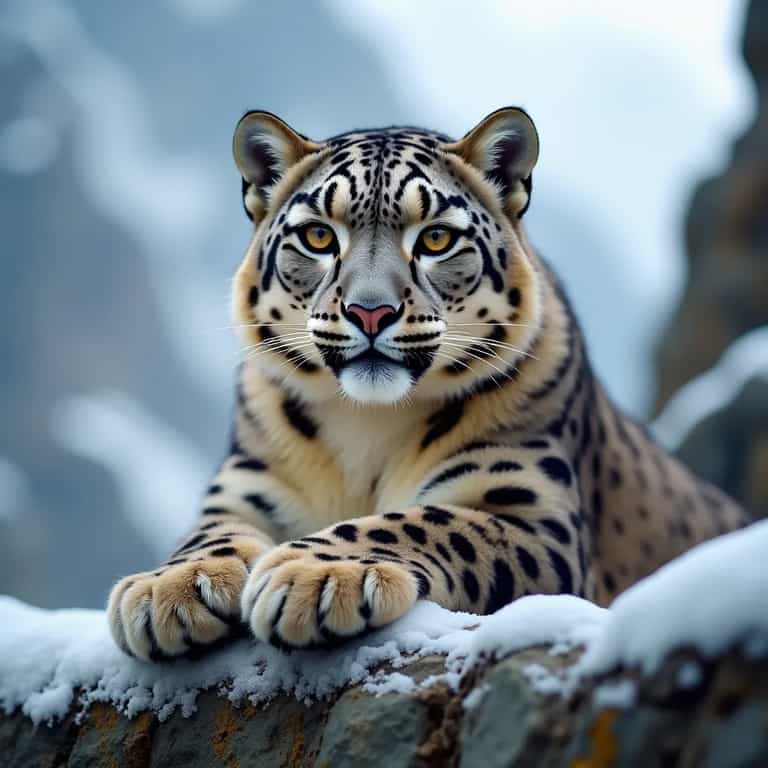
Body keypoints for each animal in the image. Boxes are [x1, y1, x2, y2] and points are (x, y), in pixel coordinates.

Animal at [108, 107, 750, 660]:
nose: (370, 311)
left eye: (437, 239)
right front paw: (169, 590)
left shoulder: (529, 505)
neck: (365, 429)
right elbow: (207, 535)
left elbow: (422, 522)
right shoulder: (247, 487)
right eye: (318, 237)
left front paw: (317, 575)